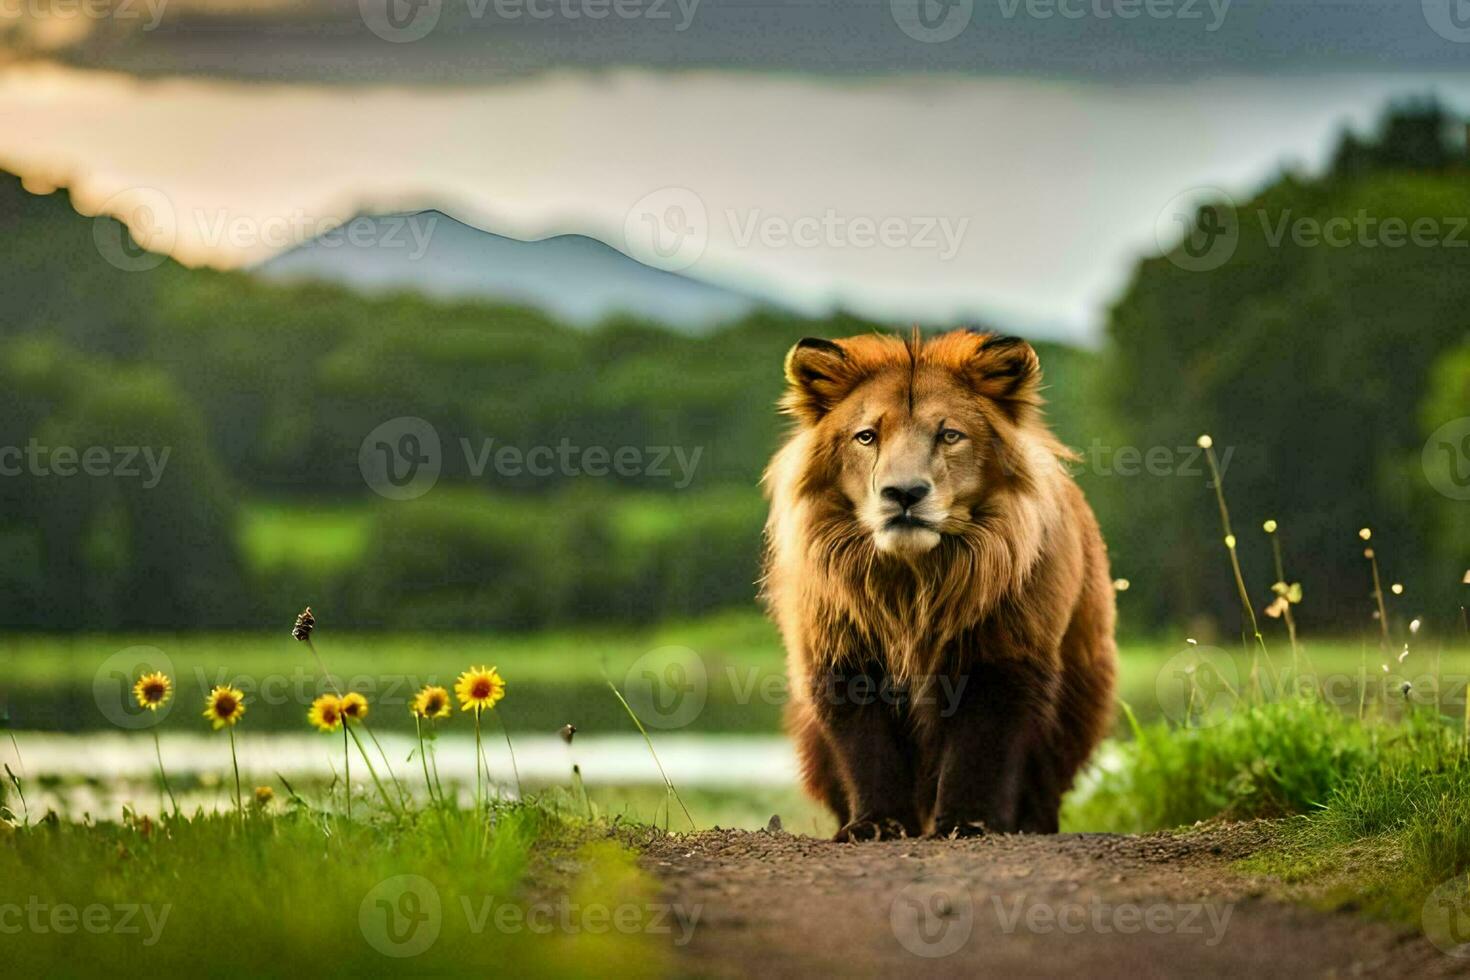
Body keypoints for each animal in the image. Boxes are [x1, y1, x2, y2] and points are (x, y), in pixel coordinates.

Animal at [764, 329, 1117, 846]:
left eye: (949, 435)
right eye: (867, 436)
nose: (904, 493)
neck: (914, 585)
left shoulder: (1002, 658)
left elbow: (979, 751)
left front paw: (969, 824)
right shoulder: (843, 658)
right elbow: (868, 753)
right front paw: (875, 825)